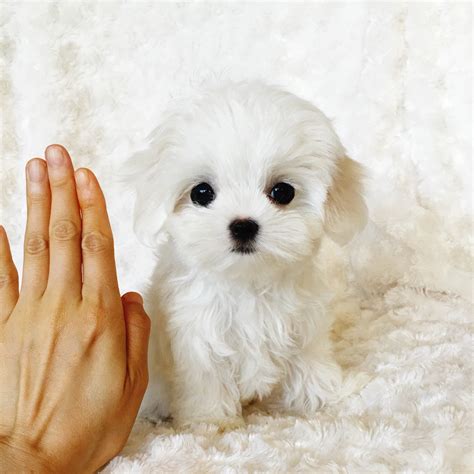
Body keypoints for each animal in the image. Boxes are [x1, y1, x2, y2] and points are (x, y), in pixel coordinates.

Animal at [128, 81, 368, 430]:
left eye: (283, 192)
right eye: (202, 193)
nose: (243, 226)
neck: (248, 281)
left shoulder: (303, 326)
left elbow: (310, 363)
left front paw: (327, 396)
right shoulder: (197, 336)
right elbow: (207, 381)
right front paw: (210, 423)